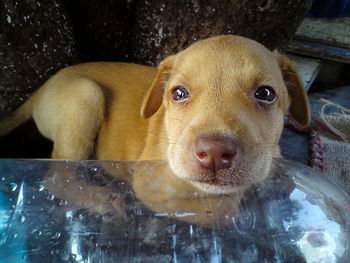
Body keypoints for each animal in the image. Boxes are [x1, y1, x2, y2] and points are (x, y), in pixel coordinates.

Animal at [0, 35, 310, 196]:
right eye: (179, 93)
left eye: (265, 93)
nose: (213, 152)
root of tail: (41, 89)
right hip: (85, 97)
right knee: (59, 174)